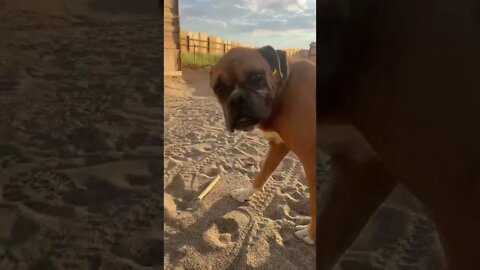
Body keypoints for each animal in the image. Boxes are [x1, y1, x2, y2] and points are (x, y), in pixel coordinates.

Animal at [209, 45, 316, 244]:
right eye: (219, 88)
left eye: (257, 77)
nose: (236, 99)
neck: (282, 90)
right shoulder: (279, 146)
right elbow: (262, 174)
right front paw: (246, 193)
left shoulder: (311, 160)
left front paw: (311, 234)